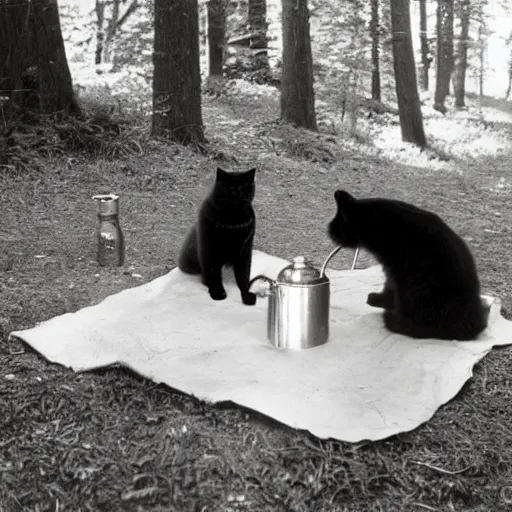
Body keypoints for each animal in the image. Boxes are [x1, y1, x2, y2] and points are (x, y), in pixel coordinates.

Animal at [178, 167, 256, 304]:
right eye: (230, 187)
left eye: (244, 186)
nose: (238, 193)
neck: (233, 220)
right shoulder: (209, 249)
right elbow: (213, 273)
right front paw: (217, 293)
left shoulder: (245, 251)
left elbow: (244, 275)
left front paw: (246, 295)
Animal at [328, 190, 488, 342]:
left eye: (334, 227)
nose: (329, 232)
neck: (380, 224)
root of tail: (471, 325)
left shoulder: (394, 270)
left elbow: (390, 287)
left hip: (416, 287)